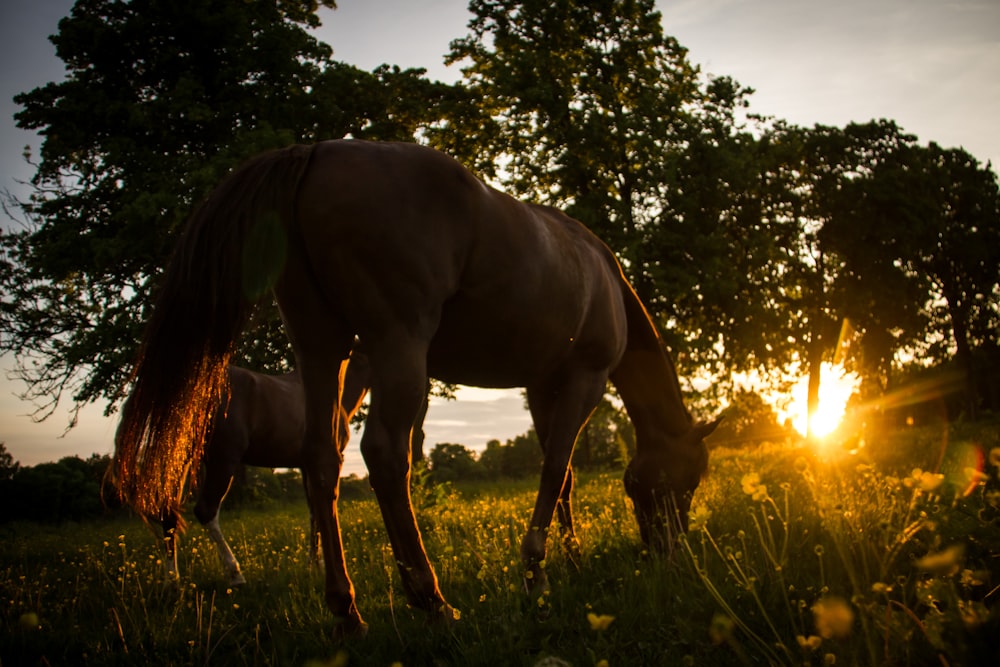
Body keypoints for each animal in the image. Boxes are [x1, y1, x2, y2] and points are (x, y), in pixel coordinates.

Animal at [111, 140, 720, 636]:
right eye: (687, 479)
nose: (669, 550)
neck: (599, 273)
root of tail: (313, 153)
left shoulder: (542, 387)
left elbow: (564, 476)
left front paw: (564, 562)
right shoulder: (583, 381)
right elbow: (554, 471)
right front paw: (534, 572)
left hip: (322, 349)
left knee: (321, 460)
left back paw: (346, 610)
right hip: (397, 347)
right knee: (384, 455)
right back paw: (431, 601)